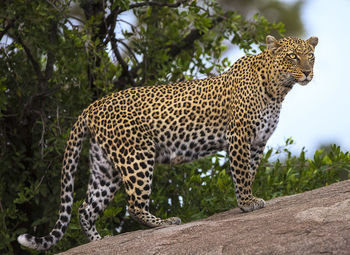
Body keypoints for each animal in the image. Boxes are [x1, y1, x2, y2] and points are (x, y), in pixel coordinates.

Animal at [17, 34, 318, 250]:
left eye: (311, 57)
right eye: (292, 57)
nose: (307, 73)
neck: (278, 89)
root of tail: (92, 106)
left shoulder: (257, 142)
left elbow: (251, 172)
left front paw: (250, 198)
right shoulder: (240, 137)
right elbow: (242, 173)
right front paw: (246, 203)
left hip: (106, 167)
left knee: (85, 208)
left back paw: (99, 242)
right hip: (137, 155)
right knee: (134, 205)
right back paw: (164, 222)